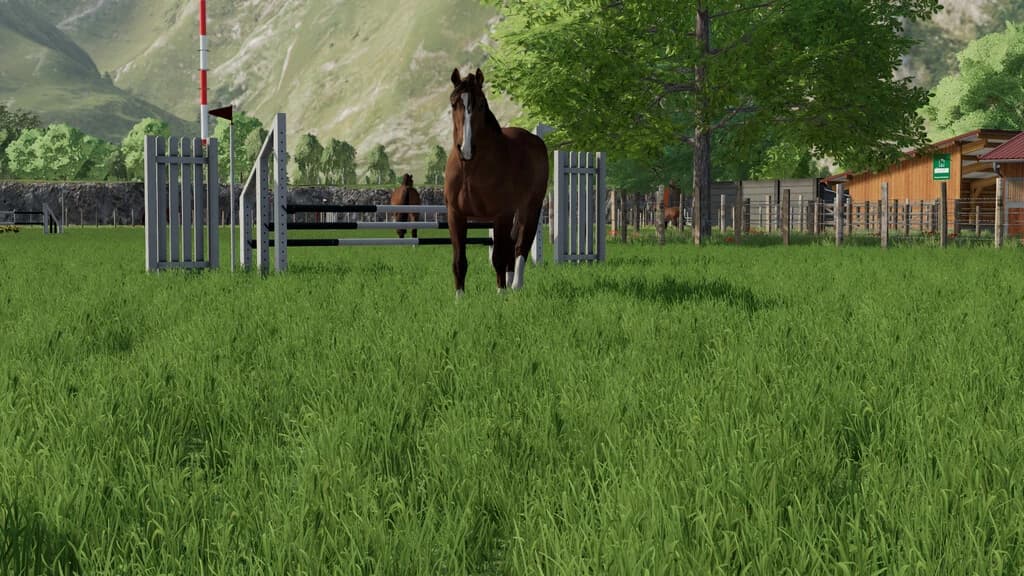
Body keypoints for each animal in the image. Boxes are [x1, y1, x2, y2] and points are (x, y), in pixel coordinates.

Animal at [445, 67, 548, 296]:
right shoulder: (455, 214)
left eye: (481, 104)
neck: (470, 169)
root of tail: (534, 139)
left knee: (520, 244)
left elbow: (499, 257)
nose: (466, 149)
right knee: (512, 243)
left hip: (530, 207)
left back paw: (516, 286)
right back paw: (510, 282)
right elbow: (459, 261)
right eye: (454, 103)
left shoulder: (501, 214)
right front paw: (459, 297)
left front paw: (501, 294)